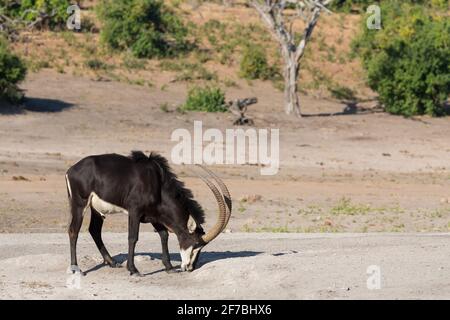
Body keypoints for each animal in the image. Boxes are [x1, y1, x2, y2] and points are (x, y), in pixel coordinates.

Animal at [66, 151, 232, 276]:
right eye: (195, 243)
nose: (190, 268)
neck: (157, 183)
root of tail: (71, 170)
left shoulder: (153, 215)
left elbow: (164, 235)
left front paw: (169, 267)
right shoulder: (135, 211)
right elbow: (133, 238)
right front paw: (133, 270)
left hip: (97, 209)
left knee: (94, 230)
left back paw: (112, 262)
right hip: (80, 204)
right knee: (73, 231)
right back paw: (77, 269)